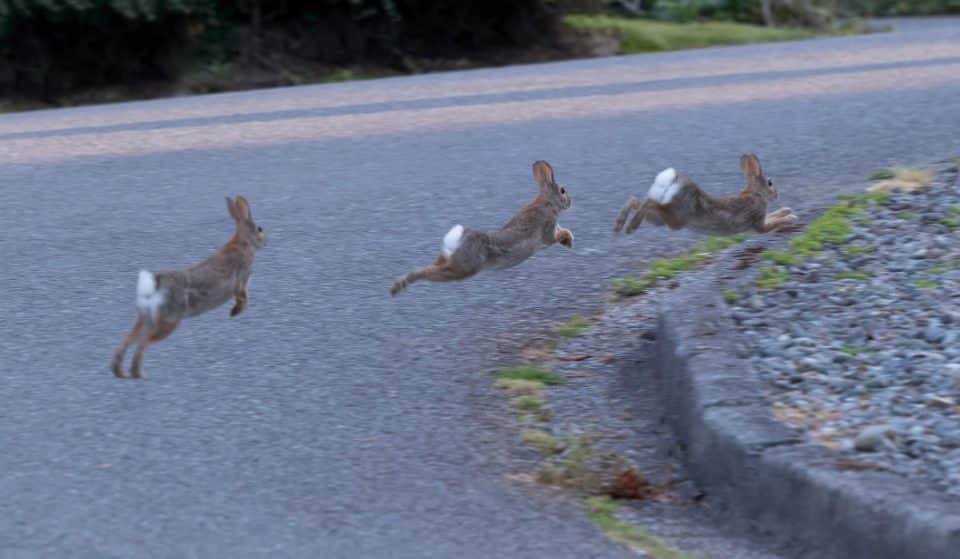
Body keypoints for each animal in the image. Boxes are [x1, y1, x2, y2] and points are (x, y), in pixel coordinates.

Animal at [111, 196, 266, 379]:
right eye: (259, 228)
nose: (265, 239)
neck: (243, 242)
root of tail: (155, 285)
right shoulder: (242, 278)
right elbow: (243, 297)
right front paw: (235, 312)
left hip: (147, 318)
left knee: (128, 338)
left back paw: (120, 372)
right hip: (169, 321)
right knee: (143, 342)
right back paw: (139, 374)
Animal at [390, 160, 574, 296]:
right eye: (563, 190)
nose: (570, 201)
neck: (547, 202)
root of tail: (456, 241)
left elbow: (562, 231)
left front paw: (569, 241)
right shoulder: (547, 228)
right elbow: (554, 235)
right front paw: (567, 240)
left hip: (451, 262)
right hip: (464, 268)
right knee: (429, 272)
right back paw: (398, 286)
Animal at [614, 153, 798, 235]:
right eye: (770, 183)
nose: (777, 194)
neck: (756, 194)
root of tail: (670, 183)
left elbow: (773, 215)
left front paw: (787, 211)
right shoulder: (758, 223)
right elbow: (772, 224)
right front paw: (790, 218)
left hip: (659, 220)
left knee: (637, 200)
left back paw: (620, 225)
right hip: (676, 219)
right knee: (649, 203)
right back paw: (630, 226)